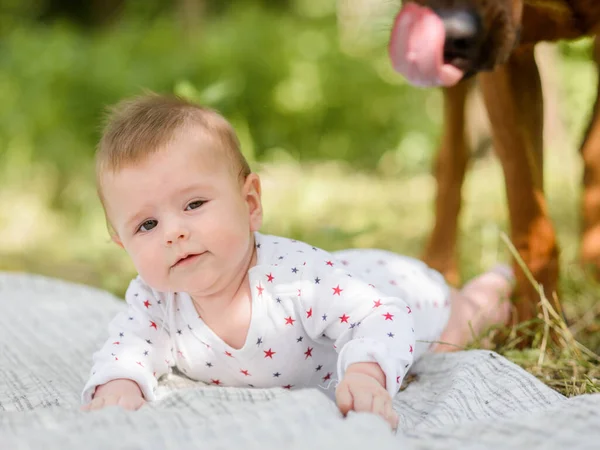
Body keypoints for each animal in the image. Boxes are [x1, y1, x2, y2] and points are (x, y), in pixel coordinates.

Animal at [386, 0, 600, 330]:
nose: (452, 30)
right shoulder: (510, 62)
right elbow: (529, 226)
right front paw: (536, 330)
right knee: (451, 158)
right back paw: (439, 268)